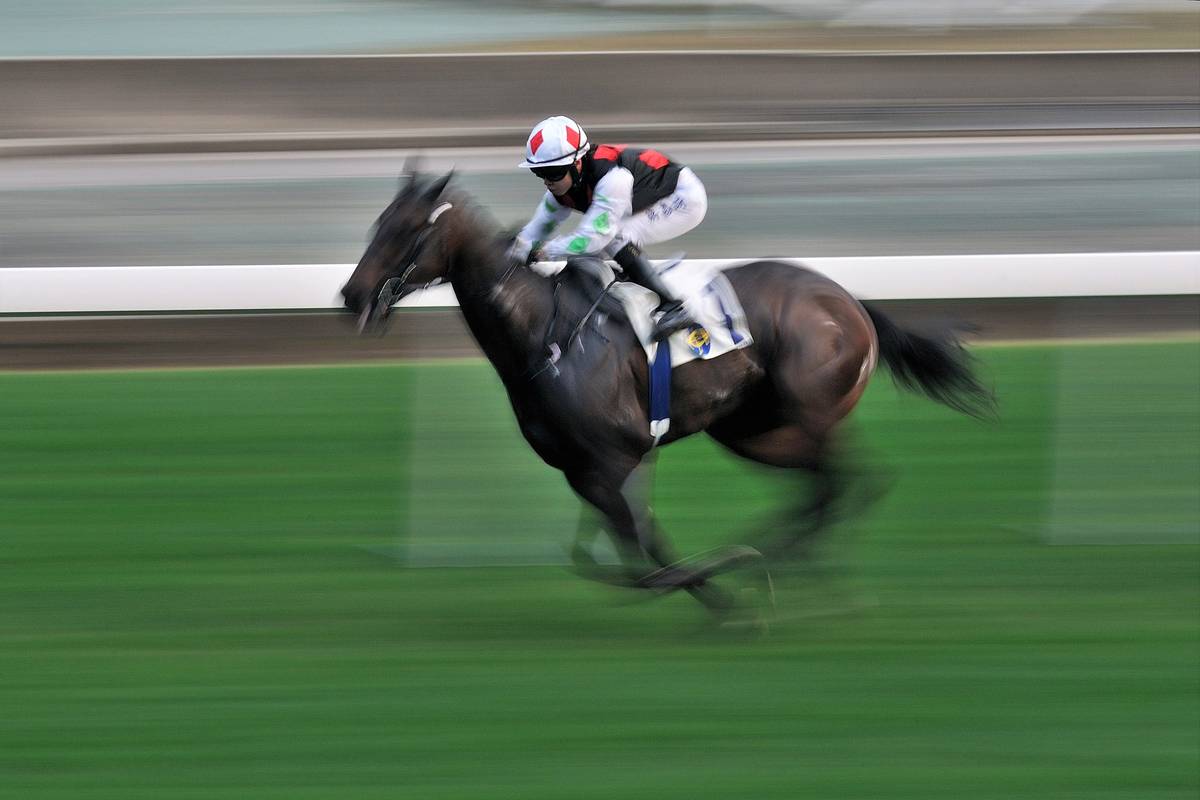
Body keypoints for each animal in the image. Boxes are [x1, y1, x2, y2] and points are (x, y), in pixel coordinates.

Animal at [340, 170, 994, 611]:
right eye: (376, 223)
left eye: (403, 230)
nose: (351, 295)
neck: (545, 335)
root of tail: (848, 302)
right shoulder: (586, 467)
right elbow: (608, 556)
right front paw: (721, 585)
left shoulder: (620, 455)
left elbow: (643, 555)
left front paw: (726, 592)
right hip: (752, 428)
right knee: (822, 489)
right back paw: (779, 565)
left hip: (810, 411)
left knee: (845, 483)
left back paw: (777, 566)